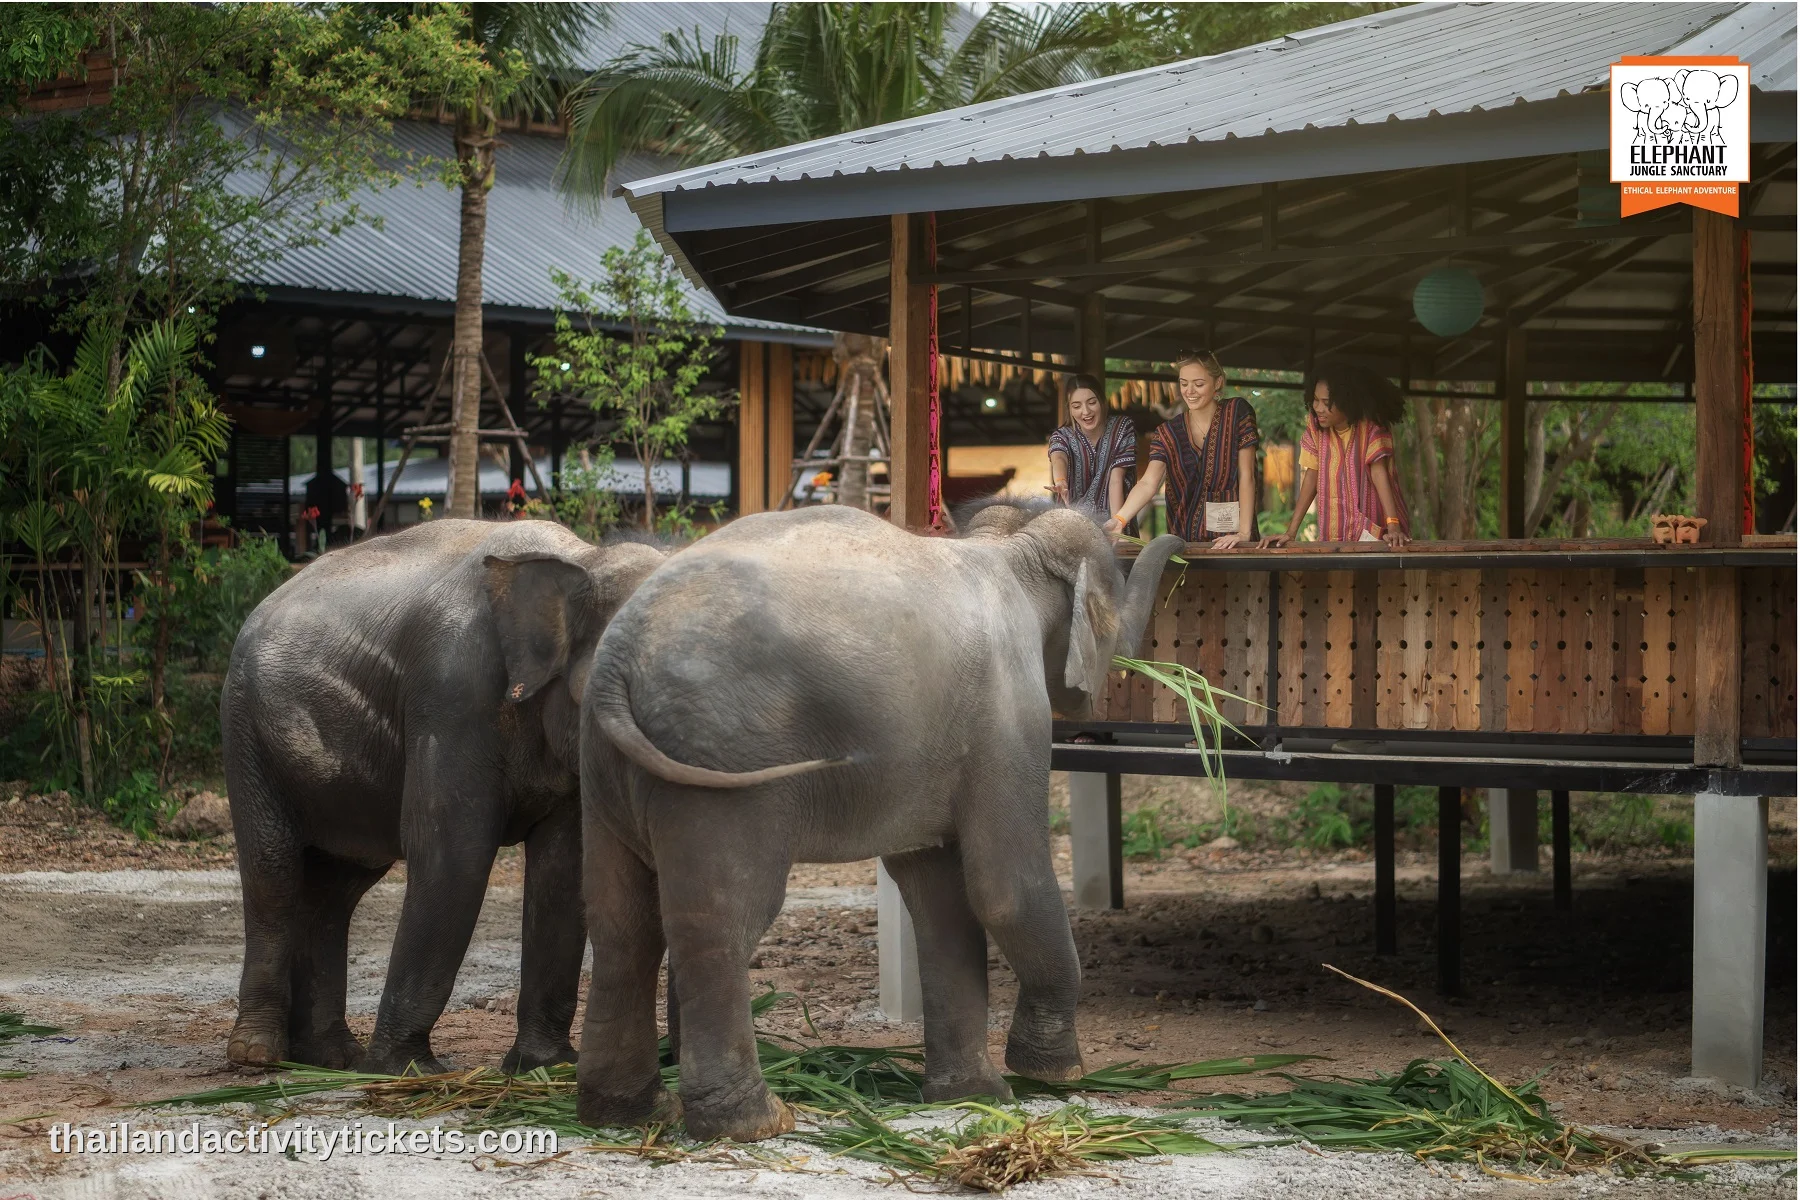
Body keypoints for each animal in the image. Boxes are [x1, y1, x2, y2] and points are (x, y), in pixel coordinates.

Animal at [220, 519, 664, 1075]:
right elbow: (454, 856)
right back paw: (259, 1056)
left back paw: (330, 1058)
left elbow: (564, 869)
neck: (584, 558)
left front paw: (546, 1067)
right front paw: (407, 1071)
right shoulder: (454, 696)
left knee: (335, 891)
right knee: (273, 873)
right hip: (247, 735)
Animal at [568, 501, 1184, 1141]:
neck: (1009, 546)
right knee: (723, 919)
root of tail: (616, 666)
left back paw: (627, 1112)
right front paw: (1053, 1073)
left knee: (621, 924)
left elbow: (939, 894)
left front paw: (972, 1096)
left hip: (601, 769)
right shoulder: (1011, 717)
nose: (1175, 536)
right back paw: (755, 1123)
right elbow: (1004, 888)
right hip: (718, 764)